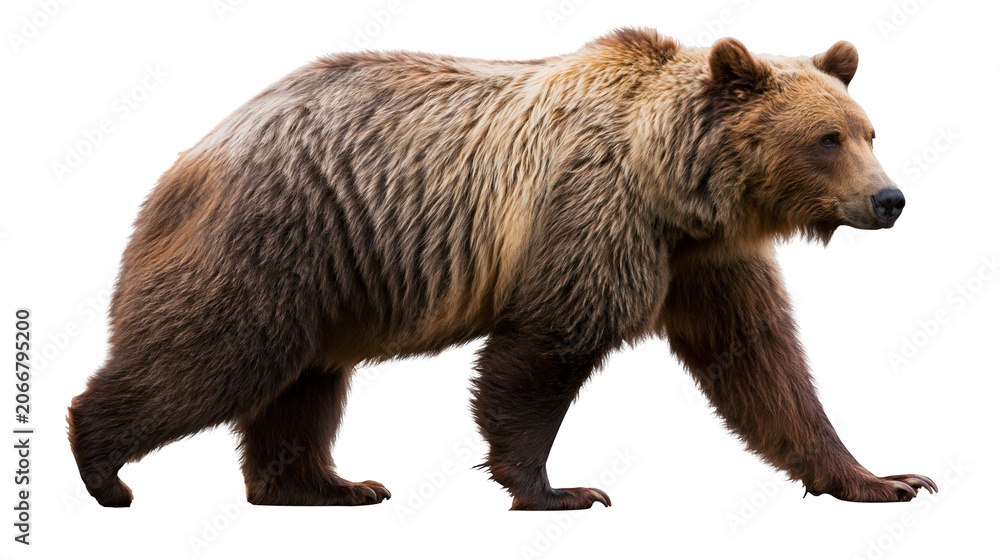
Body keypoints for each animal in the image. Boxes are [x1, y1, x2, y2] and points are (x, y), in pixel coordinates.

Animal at [68, 27, 935, 509]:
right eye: (826, 138)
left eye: (869, 129)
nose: (890, 198)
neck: (676, 190)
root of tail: (197, 151)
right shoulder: (592, 218)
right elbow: (542, 353)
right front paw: (560, 490)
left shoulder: (705, 262)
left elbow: (764, 367)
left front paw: (883, 478)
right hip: (273, 239)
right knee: (215, 356)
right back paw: (103, 464)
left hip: (322, 278)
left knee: (303, 386)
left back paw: (329, 486)